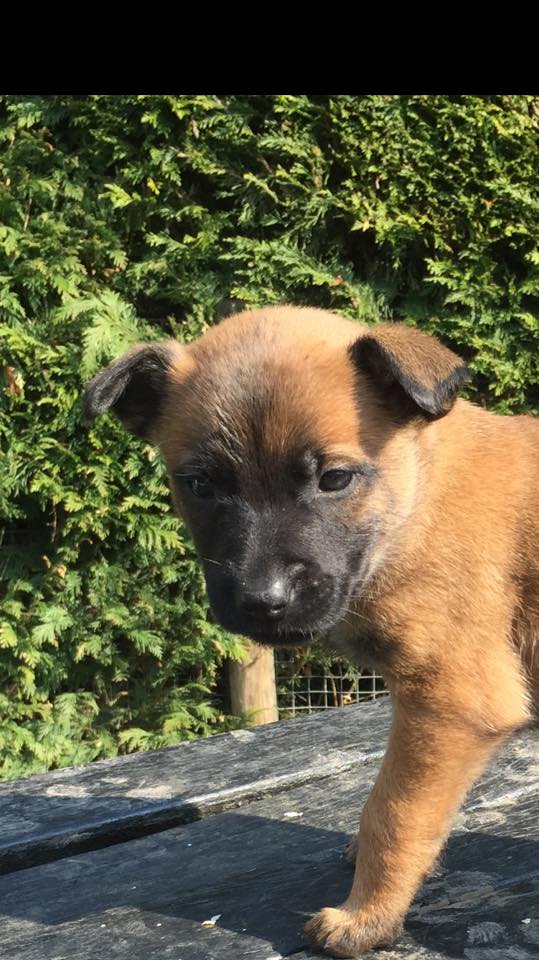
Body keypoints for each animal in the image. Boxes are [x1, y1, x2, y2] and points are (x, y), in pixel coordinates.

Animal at [84, 306, 537, 958]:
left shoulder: (451, 702)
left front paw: (366, 916)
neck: (417, 500)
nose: (262, 601)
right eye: (199, 485)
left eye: (335, 479)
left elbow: (394, 812)